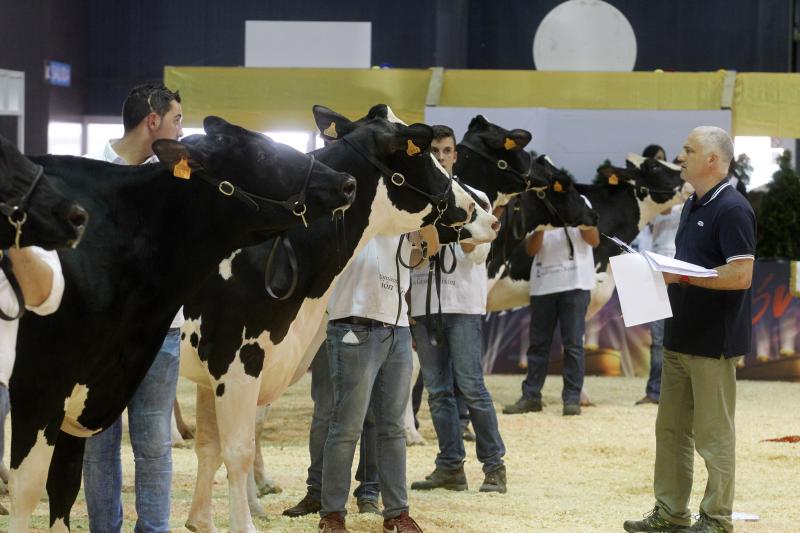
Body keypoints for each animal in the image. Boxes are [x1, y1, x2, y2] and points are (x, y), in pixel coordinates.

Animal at [9, 116, 356, 532]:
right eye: (260, 154)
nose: (346, 182)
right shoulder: (39, 387)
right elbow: (28, 490)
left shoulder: (84, 395)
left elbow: (63, 488)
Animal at [180, 105, 482, 532]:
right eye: (421, 152)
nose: (470, 205)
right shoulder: (236, 360)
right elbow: (237, 450)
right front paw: (244, 522)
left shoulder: (212, 371)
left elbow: (209, 446)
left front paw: (199, 521)